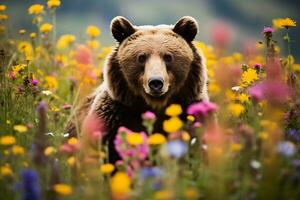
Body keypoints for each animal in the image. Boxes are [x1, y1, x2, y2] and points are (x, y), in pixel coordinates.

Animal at [66, 15, 209, 162]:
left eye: (168, 57)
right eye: (141, 57)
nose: (156, 82)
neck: (155, 105)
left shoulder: (191, 113)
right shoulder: (114, 117)